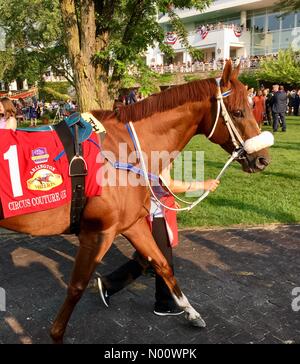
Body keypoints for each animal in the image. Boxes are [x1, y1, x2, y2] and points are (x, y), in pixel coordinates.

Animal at [0, 61, 270, 342]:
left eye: (250, 105)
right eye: (238, 112)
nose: (262, 159)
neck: (124, 150)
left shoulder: (132, 224)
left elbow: (162, 263)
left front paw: (191, 312)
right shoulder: (97, 233)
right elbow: (76, 287)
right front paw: (56, 333)